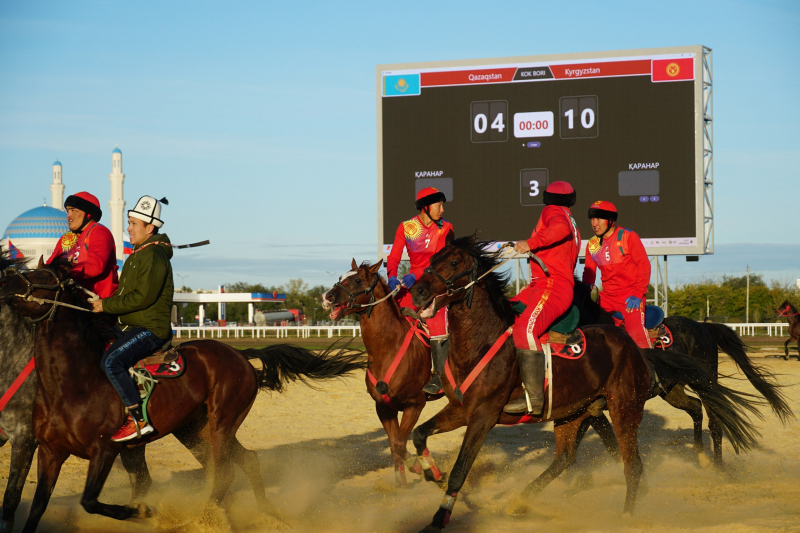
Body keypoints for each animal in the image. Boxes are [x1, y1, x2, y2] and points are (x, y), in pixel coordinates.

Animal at [0, 260, 368, 528]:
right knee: (244, 461)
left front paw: (141, 512)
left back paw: (200, 520)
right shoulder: (49, 451)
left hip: (222, 422)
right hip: (194, 429)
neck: (73, 382)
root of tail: (239, 355)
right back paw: (266, 513)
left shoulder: (103, 449)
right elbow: (35, 507)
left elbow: (89, 501)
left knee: (224, 473)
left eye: (42, 275)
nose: (5, 280)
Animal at [320, 258, 444, 486]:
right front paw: (402, 483)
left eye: (358, 280)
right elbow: (395, 445)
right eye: (341, 277)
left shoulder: (415, 404)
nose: (327, 296)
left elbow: (401, 443)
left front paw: (421, 467)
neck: (388, 348)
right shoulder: (384, 407)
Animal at [410, 238, 760, 532]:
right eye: (433, 257)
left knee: (645, 458)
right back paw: (521, 500)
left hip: (629, 407)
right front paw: (430, 472)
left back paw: (642, 506)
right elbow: (419, 434)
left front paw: (439, 517)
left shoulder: (483, 417)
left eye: (453, 261)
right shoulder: (460, 409)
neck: (483, 343)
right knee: (567, 457)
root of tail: (637, 350)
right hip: (580, 411)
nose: (417, 292)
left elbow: (461, 469)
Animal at [576, 282, 792, 462]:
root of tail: (703, 327)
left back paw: (719, 467)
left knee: (715, 422)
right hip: (671, 390)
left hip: (705, 383)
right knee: (695, 407)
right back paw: (701, 455)